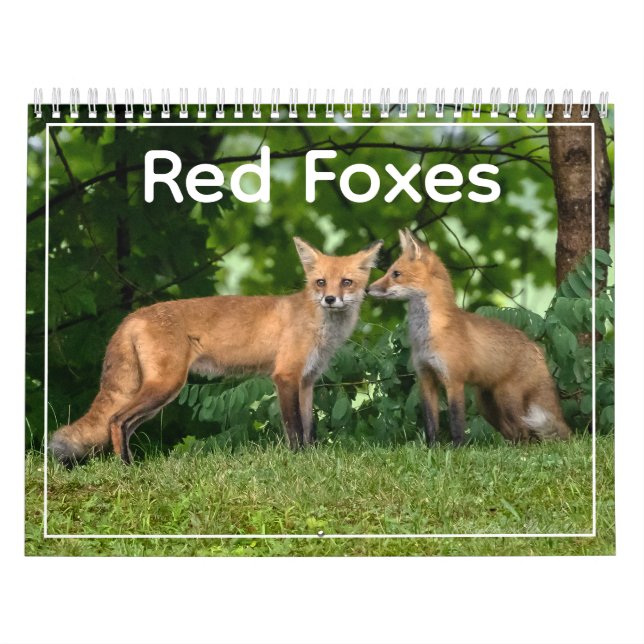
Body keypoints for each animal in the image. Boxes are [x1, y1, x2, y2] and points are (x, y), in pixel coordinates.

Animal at [49, 237, 382, 466]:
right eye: (321, 282)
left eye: (347, 282)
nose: (330, 299)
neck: (319, 326)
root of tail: (133, 315)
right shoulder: (285, 375)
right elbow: (294, 428)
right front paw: (298, 461)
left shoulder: (307, 381)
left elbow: (309, 427)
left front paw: (311, 458)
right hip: (166, 385)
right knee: (116, 421)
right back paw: (126, 469)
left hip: (158, 394)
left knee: (124, 424)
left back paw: (131, 466)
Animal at [367, 228, 571, 445]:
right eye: (389, 271)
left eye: (396, 274)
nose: (367, 289)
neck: (428, 334)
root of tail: (537, 349)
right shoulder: (426, 379)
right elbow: (430, 424)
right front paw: (432, 448)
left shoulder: (454, 380)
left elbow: (456, 421)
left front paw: (457, 447)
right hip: (487, 405)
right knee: (514, 432)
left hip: (508, 399)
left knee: (524, 432)